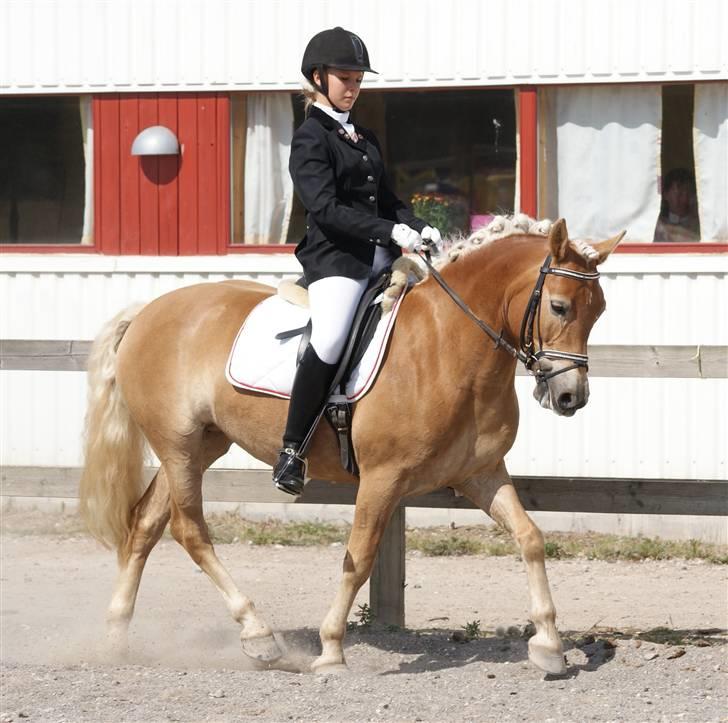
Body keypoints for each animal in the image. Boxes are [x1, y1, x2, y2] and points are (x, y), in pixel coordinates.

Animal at [79, 218, 624, 676]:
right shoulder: (384, 477)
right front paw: (331, 652)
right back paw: (259, 636)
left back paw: (116, 636)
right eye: (559, 306)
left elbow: (530, 538)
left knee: (146, 524)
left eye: (599, 312)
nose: (571, 397)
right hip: (178, 445)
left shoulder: (481, 472)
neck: (450, 345)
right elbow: (358, 558)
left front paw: (549, 646)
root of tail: (148, 312)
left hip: (202, 445)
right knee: (190, 531)